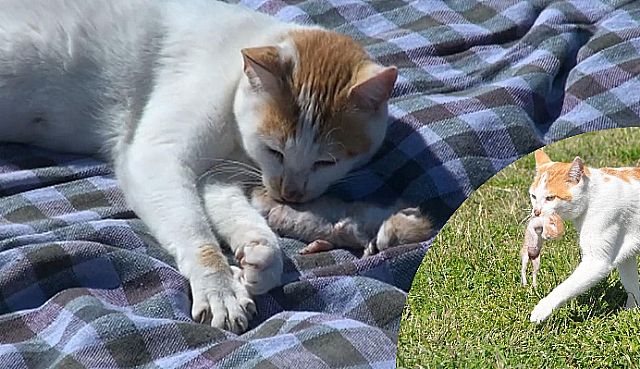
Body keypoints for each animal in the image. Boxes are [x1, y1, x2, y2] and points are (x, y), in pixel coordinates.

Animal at [1, 0, 430, 334]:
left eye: (327, 161)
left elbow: (239, 217)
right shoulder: (158, 156)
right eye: (275, 150)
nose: (290, 192)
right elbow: (198, 234)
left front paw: (259, 255)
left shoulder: (219, 179)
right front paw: (219, 287)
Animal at [528, 149, 640, 322]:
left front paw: (541, 309)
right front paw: (632, 311)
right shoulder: (626, 253)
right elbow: (631, 283)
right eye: (533, 196)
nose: (536, 212)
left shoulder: (596, 261)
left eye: (550, 198)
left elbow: (565, 287)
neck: (593, 196)